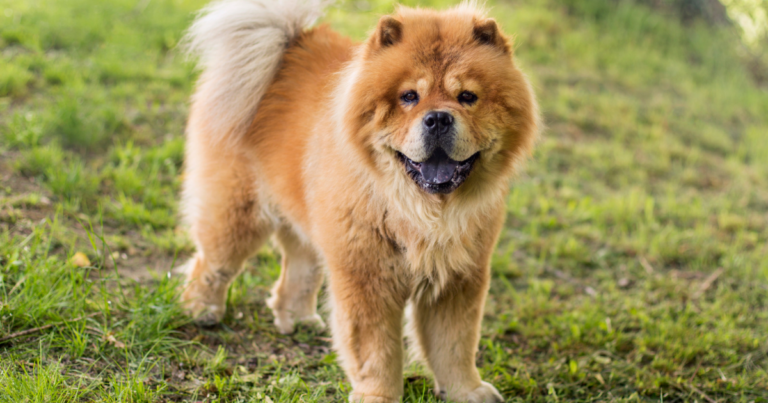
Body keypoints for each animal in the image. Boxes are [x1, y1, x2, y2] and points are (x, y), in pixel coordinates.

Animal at [180, 1, 540, 402]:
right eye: (409, 97)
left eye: (467, 97)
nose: (438, 118)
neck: (422, 212)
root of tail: (287, 42)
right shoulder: (367, 279)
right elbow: (376, 352)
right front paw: (380, 395)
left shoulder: (459, 278)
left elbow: (455, 346)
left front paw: (467, 391)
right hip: (238, 215)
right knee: (213, 263)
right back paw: (202, 310)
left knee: (300, 268)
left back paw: (298, 319)